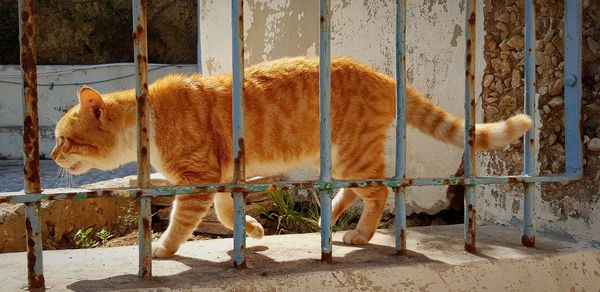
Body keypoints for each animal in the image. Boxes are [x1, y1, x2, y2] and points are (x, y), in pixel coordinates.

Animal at [50, 56, 528, 256]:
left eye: (63, 139)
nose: (51, 156)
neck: (147, 119)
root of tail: (377, 73)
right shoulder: (221, 175)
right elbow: (224, 213)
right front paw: (252, 230)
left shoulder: (198, 178)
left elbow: (180, 222)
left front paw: (162, 250)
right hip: (339, 157)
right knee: (353, 189)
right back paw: (329, 217)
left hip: (352, 154)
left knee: (377, 193)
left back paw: (360, 235)